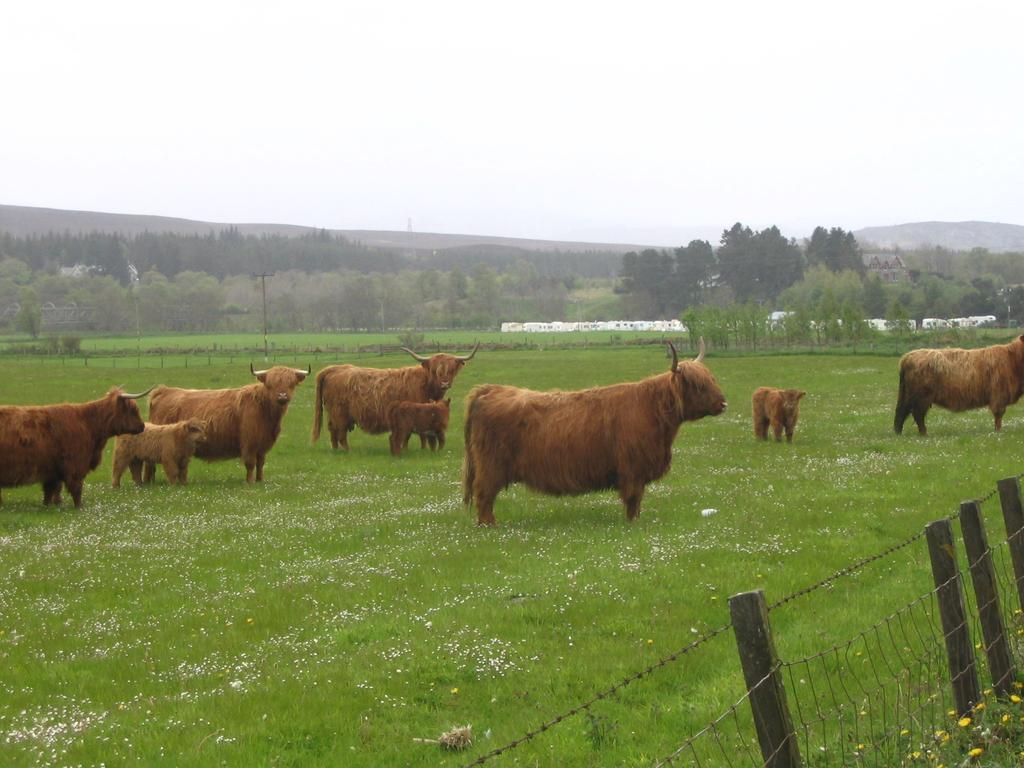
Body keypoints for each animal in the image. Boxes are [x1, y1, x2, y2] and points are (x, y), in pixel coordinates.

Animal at [0, 387, 151, 507]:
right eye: (133, 410)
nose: (142, 426)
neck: (88, 424)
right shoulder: (75, 466)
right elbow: (76, 488)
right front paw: (79, 507)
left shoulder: (53, 471)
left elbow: (50, 491)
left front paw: (49, 505)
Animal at [147, 364, 307, 483]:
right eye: (270, 384)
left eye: (291, 383)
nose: (282, 396)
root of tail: (164, 390)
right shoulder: (249, 442)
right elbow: (250, 463)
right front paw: (250, 482)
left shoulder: (263, 444)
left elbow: (260, 463)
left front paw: (260, 480)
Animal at [311, 344, 479, 450]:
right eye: (434, 370)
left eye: (451, 369)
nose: (444, 383)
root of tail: (334, 368)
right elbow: (415, 435)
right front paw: (415, 449)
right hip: (340, 413)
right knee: (340, 433)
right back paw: (347, 451)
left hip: (333, 414)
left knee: (333, 431)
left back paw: (335, 450)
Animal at [464, 344, 729, 528]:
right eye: (698, 385)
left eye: (712, 379)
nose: (723, 403)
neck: (653, 409)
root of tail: (490, 389)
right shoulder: (633, 469)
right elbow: (633, 498)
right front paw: (633, 523)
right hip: (491, 466)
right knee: (484, 494)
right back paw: (490, 525)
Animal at [892, 333, 1024, 436]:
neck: (1013, 359)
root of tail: (907, 357)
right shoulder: (999, 395)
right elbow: (998, 415)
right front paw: (998, 432)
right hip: (921, 397)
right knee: (917, 414)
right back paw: (924, 434)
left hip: (907, 395)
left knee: (902, 411)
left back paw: (899, 433)